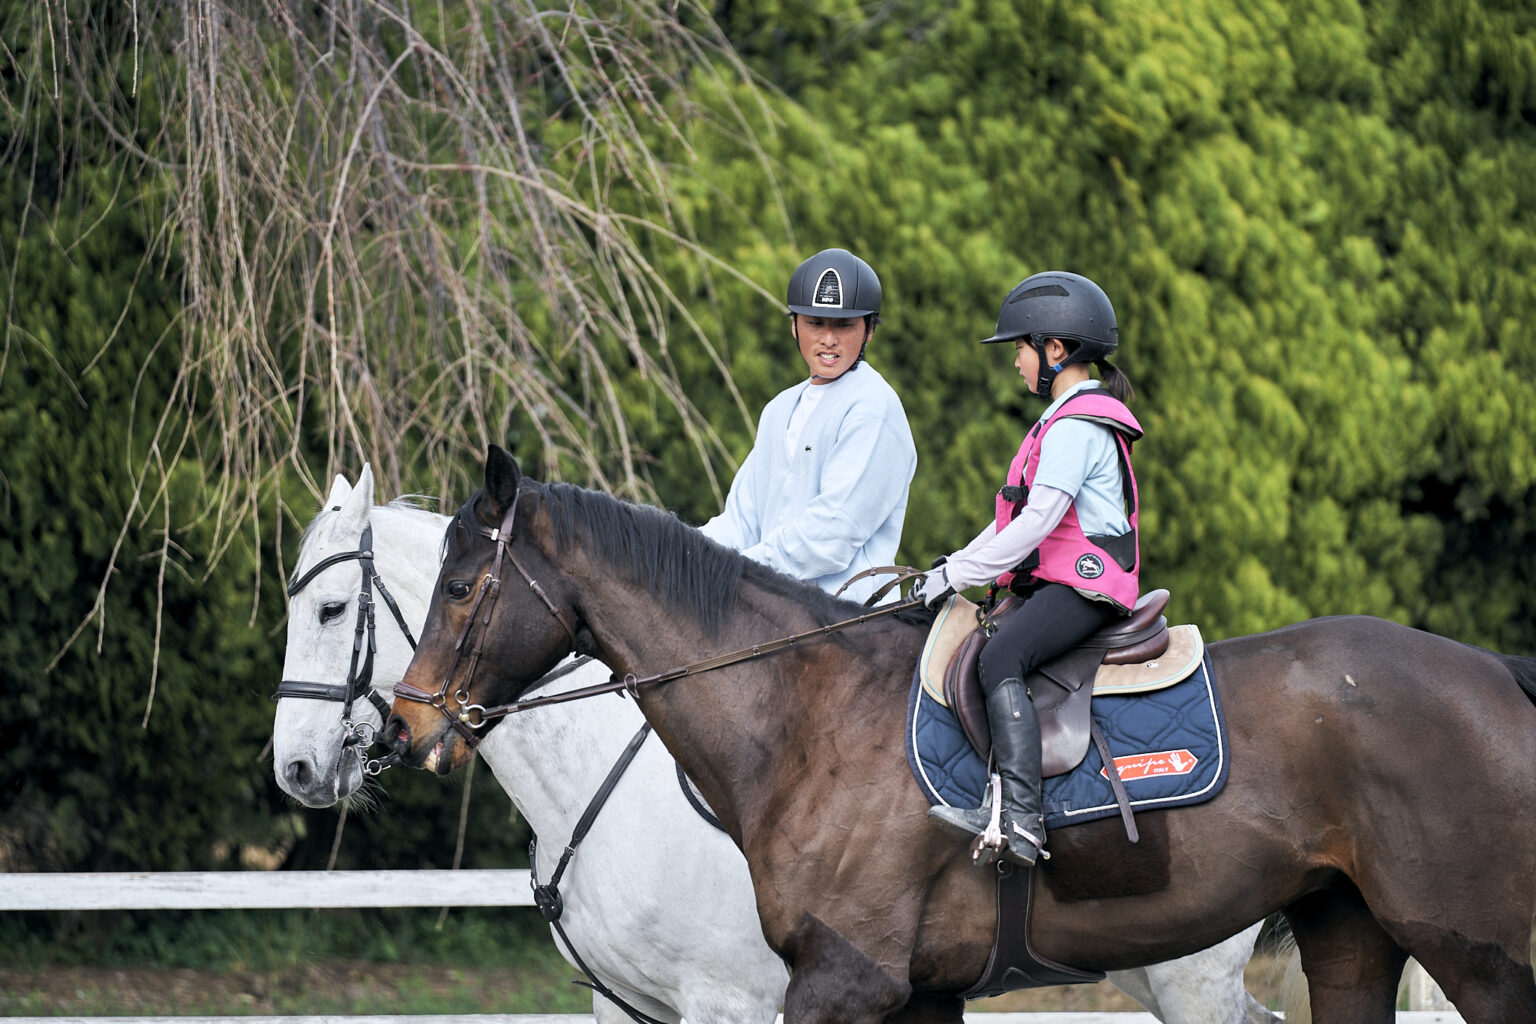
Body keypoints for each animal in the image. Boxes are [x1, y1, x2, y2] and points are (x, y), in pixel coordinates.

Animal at [385, 447, 1536, 1024]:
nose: (406, 723)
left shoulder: (837, 982)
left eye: (460, 586)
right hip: (1350, 936)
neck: (801, 714)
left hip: (1467, 953)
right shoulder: (914, 993)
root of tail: (1492, 669)